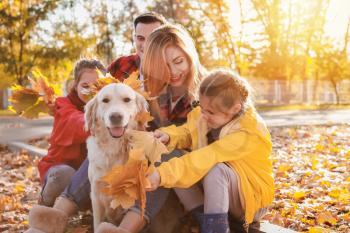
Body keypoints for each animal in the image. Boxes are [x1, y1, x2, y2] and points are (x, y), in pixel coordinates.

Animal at [85, 83, 148, 230]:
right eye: (105, 100)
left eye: (127, 100)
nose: (115, 116)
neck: (114, 148)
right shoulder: (96, 193)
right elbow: (97, 223)